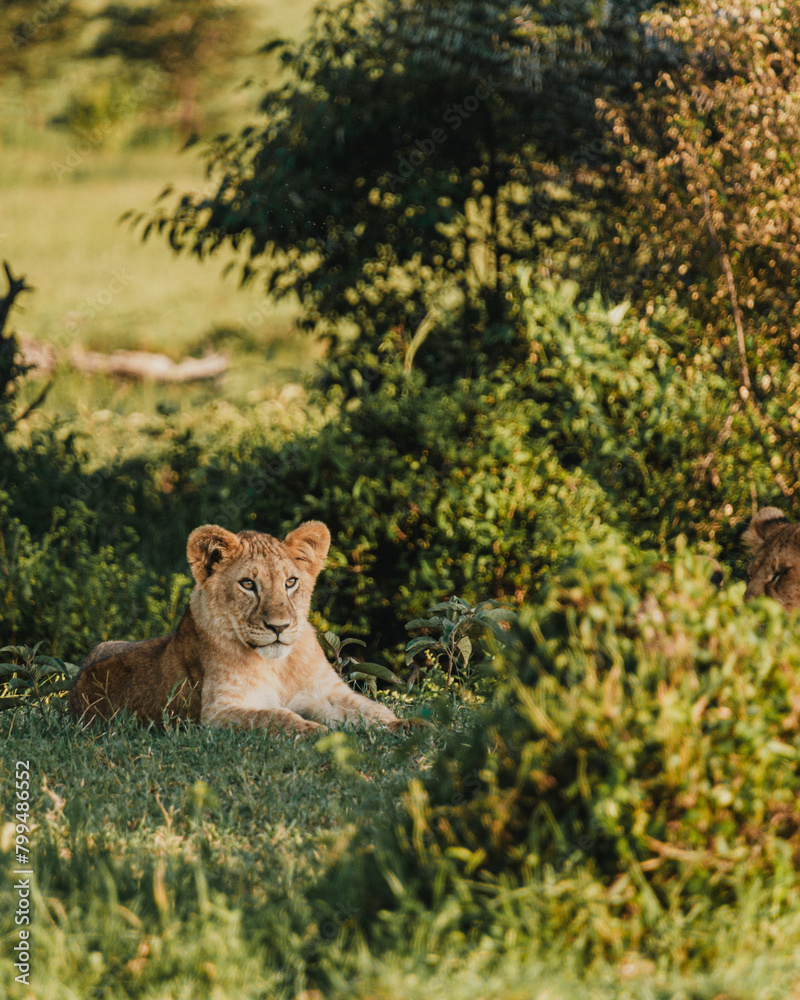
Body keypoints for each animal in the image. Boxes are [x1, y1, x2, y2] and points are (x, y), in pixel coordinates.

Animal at [68, 521, 402, 734]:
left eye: (290, 582)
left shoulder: (325, 691)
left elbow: (369, 708)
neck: (278, 666)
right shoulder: (216, 714)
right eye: (248, 584)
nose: (279, 627)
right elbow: (276, 717)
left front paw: (403, 725)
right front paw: (321, 732)